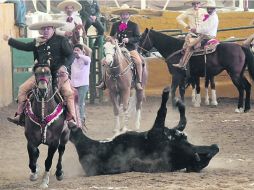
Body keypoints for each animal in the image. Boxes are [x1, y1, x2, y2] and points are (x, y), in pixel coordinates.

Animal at [69, 87, 218, 176]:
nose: (215, 146)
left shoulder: (160, 131)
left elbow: (174, 117)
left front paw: (174, 100)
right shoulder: (158, 131)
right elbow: (170, 115)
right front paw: (174, 99)